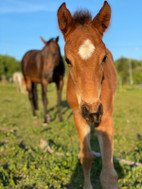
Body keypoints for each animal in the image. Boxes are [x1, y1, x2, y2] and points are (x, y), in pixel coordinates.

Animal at [57, 1, 117, 189]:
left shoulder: (106, 116)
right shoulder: (78, 115)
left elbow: (109, 175)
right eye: (67, 60)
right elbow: (86, 157)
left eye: (104, 58)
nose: (92, 112)